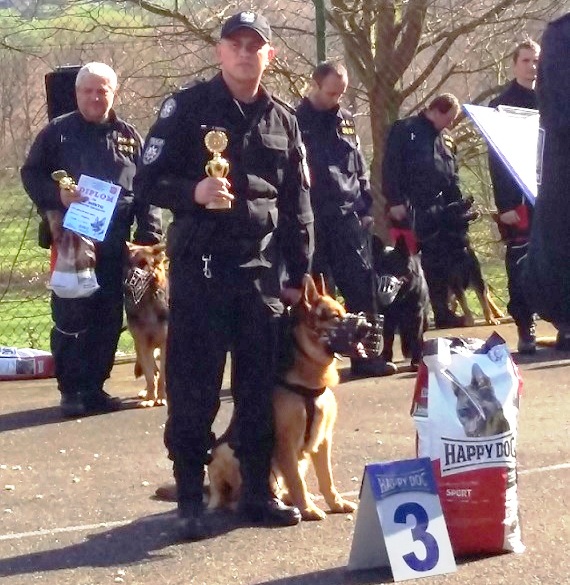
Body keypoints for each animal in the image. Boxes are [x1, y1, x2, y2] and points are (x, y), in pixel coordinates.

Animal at [124, 242, 169, 407]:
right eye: (128, 263)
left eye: (144, 263)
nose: (126, 285)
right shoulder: (142, 344)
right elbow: (150, 375)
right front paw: (150, 397)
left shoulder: (165, 344)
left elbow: (162, 375)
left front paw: (161, 397)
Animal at [207, 274, 357, 521]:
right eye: (335, 317)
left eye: (344, 313)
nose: (367, 328)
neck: (308, 384)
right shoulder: (286, 443)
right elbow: (297, 481)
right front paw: (308, 510)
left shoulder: (323, 441)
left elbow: (326, 479)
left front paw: (336, 503)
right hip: (224, 453)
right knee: (231, 495)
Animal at [371, 235, 429, 372]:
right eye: (379, 268)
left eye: (395, 266)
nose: (384, 290)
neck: (400, 299)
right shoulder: (387, 317)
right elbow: (388, 338)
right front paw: (386, 358)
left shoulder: (416, 315)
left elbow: (416, 337)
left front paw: (416, 361)